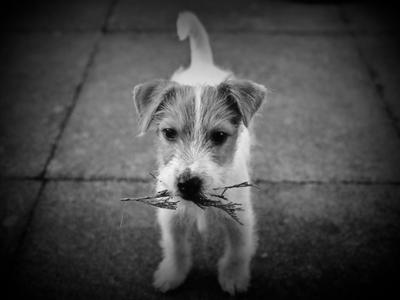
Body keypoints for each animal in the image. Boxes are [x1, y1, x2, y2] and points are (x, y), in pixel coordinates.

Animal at [133, 11, 268, 296]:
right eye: (169, 133)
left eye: (219, 136)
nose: (187, 184)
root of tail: (202, 62)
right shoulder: (170, 217)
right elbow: (176, 248)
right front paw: (172, 274)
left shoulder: (240, 218)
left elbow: (238, 251)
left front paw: (234, 277)